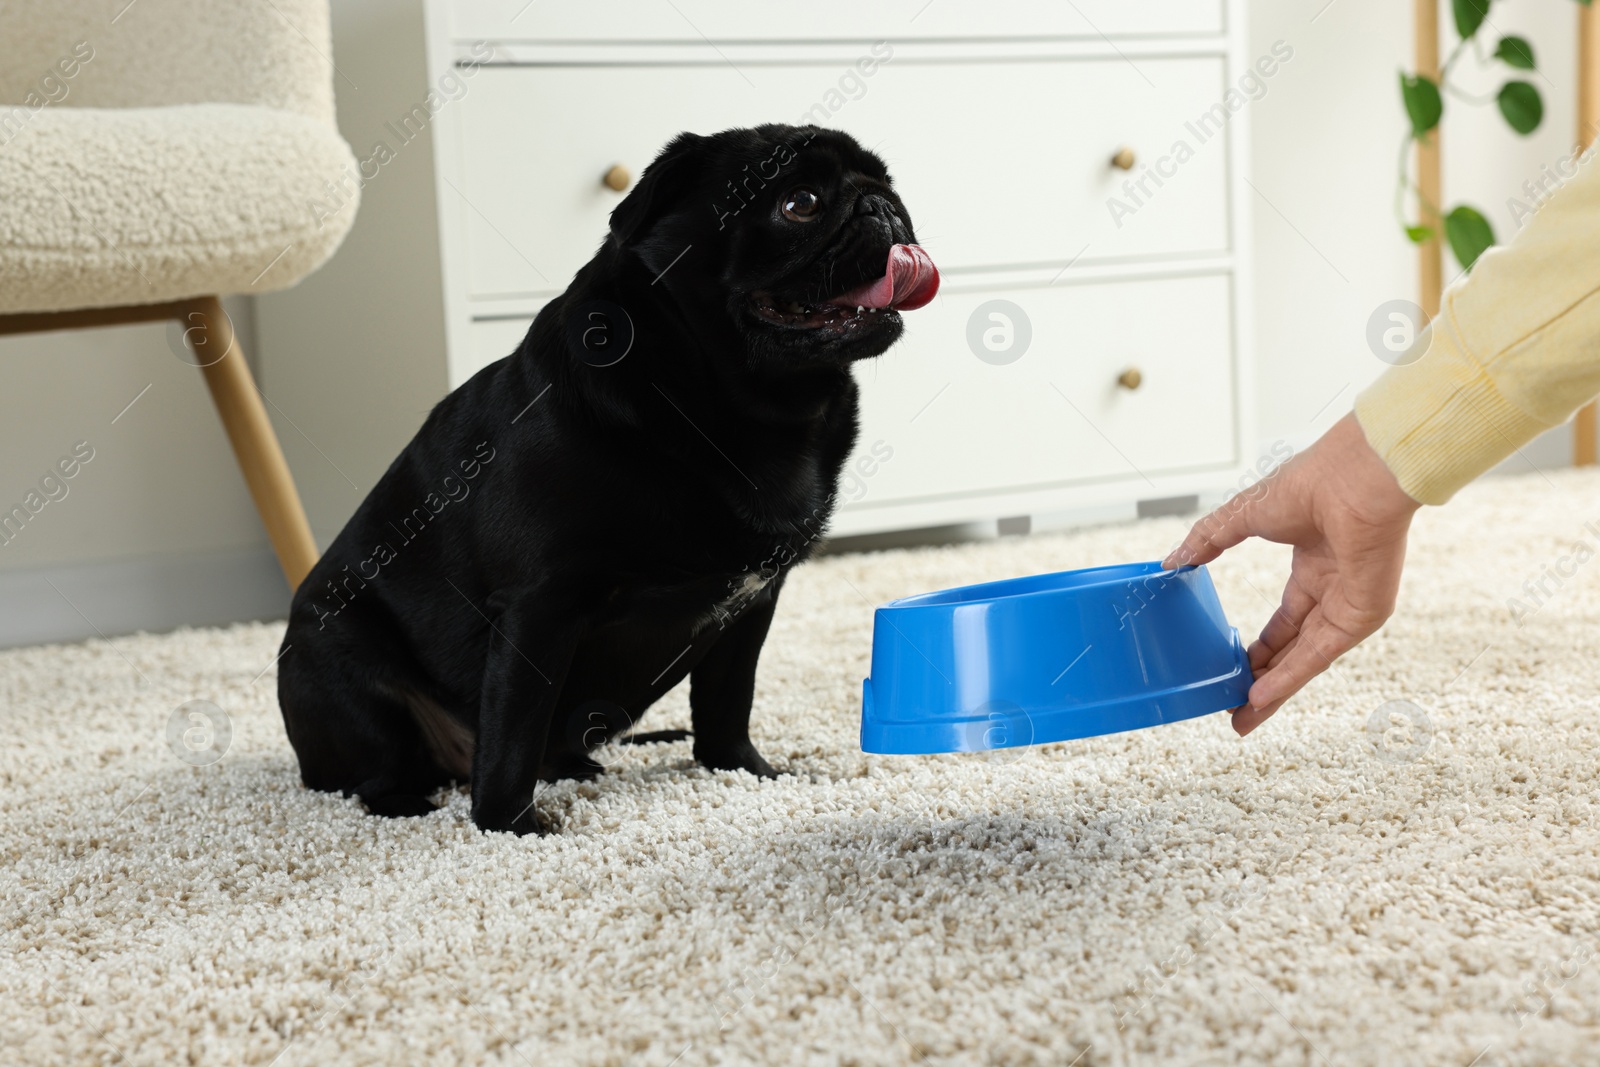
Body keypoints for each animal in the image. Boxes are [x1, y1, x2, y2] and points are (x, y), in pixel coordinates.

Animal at [280, 123, 934, 831]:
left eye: (887, 181)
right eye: (802, 203)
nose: (881, 204)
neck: (749, 409)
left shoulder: (753, 604)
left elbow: (728, 702)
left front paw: (746, 772)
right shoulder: (541, 607)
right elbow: (513, 732)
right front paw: (510, 826)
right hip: (347, 678)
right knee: (382, 771)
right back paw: (409, 802)